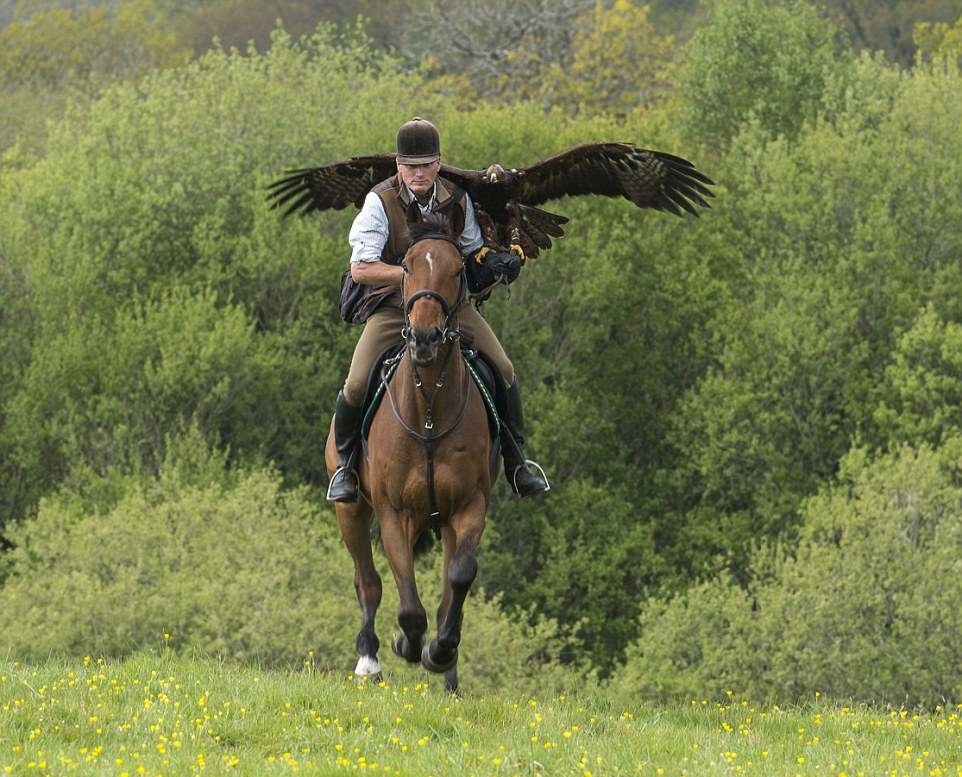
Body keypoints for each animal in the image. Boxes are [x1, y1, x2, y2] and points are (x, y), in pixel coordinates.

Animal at [326, 208, 498, 692]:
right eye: (405, 267)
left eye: (457, 270)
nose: (424, 338)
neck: (429, 413)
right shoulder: (392, 513)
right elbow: (405, 598)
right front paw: (407, 642)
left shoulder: (470, 507)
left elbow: (458, 578)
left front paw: (440, 651)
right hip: (350, 510)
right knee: (367, 582)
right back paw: (369, 661)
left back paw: (446, 673)